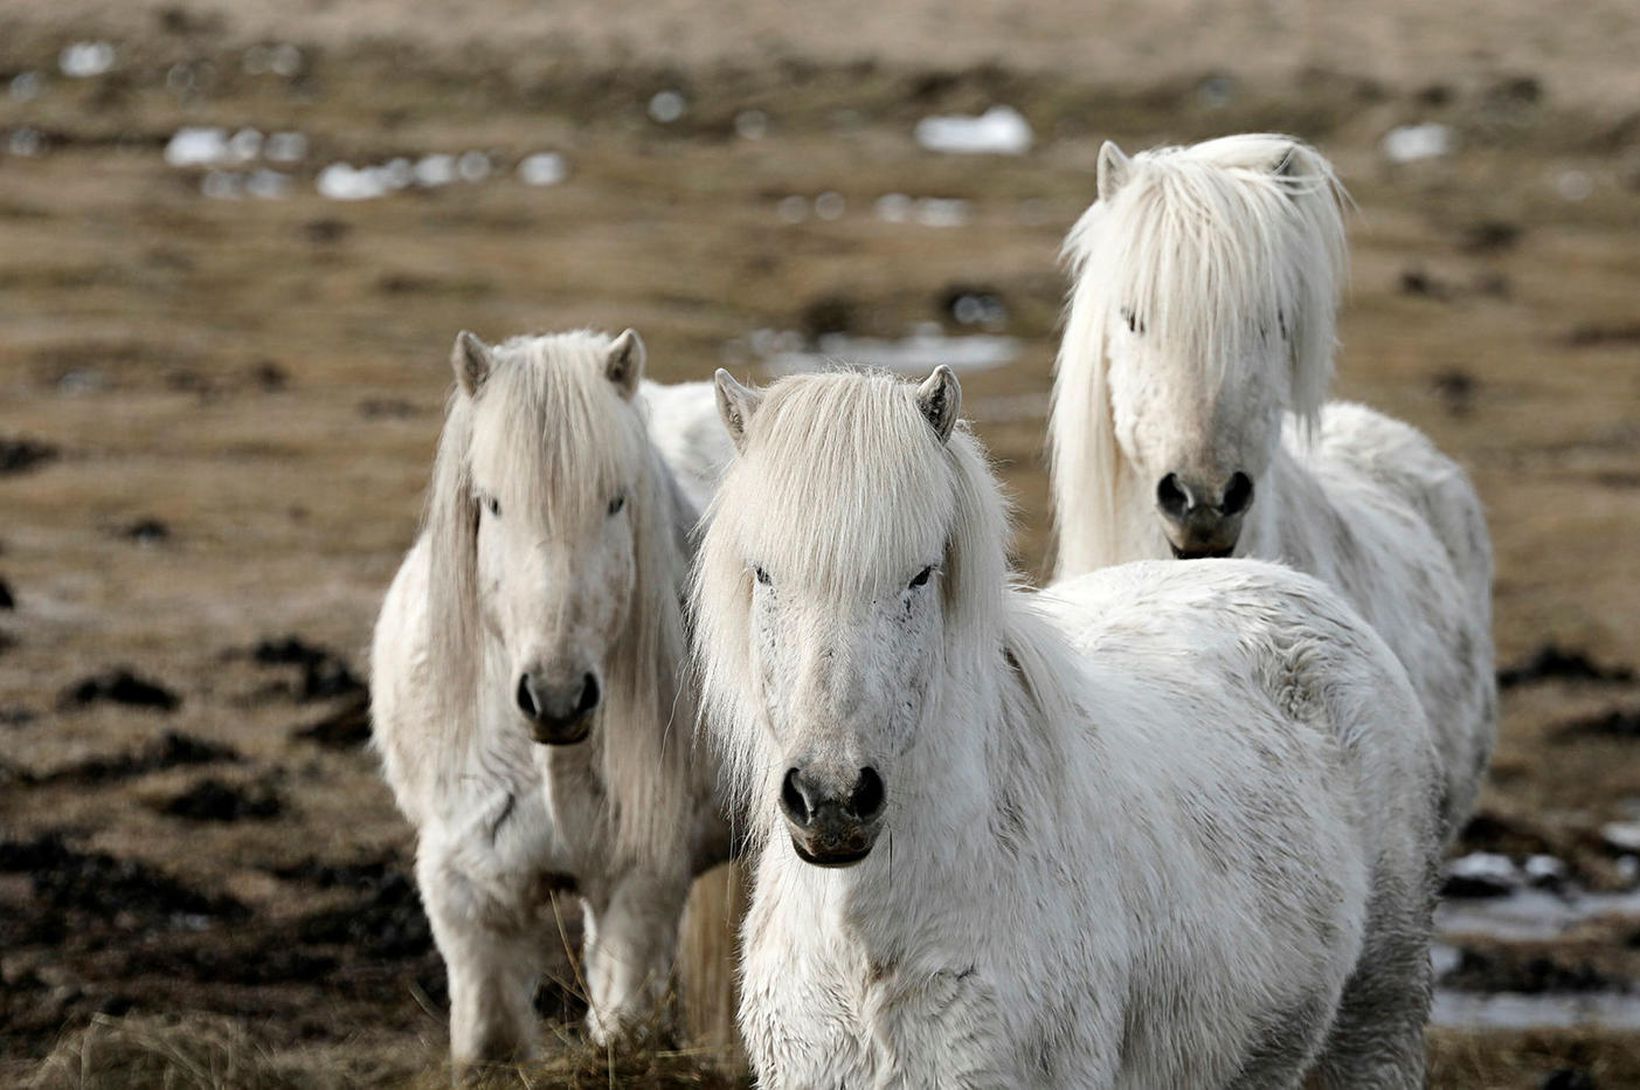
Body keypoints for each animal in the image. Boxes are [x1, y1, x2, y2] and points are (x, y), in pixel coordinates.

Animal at [375, 329, 734, 1062]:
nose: (557, 697)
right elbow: (492, 1042)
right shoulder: (470, 898)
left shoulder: (638, 886)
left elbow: (621, 1022)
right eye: (490, 502)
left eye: (617, 501)